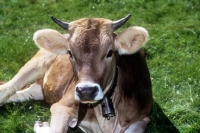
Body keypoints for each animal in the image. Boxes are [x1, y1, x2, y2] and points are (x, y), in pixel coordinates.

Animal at [0, 14, 152, 133]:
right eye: (70, 53)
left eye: (109, 52)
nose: (86, 91)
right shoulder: (62, 107)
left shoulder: (143, 118)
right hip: (38, 62)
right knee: (7, 89)